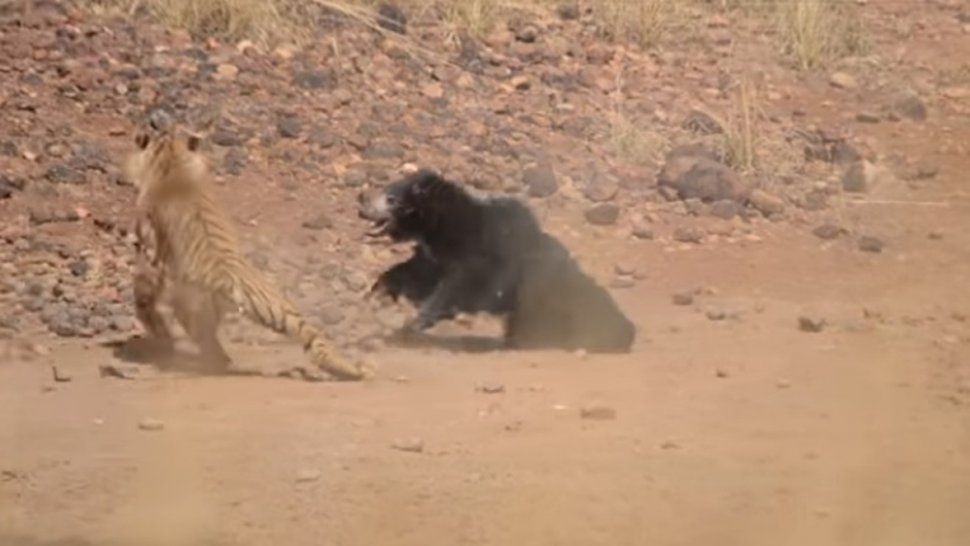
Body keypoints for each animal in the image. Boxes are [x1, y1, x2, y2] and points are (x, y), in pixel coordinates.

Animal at [122, 127, 368, 381]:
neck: (172, 163)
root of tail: (226, 281)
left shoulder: (151, 250)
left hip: (190, 305)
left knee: (205, 347)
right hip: (280, 310)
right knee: (314, 341)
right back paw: (353, 371)